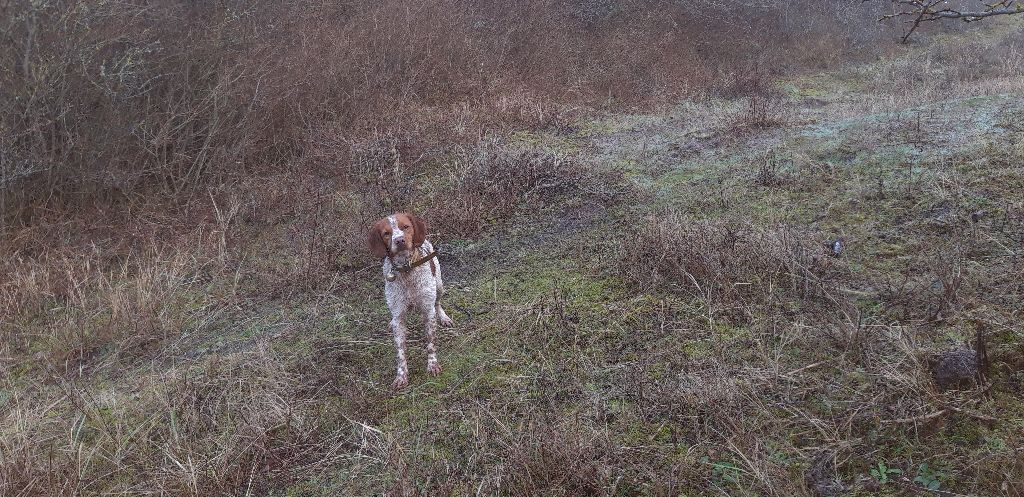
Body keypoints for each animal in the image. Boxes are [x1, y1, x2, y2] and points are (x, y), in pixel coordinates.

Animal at [366, 211, 450, 389]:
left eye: (405, 227)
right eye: (386, 233)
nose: (399, 240)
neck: (406, 269)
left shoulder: (428, 311)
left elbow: (430, 342)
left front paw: (432, 365)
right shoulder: (399, 316)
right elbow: (400, 351)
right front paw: (401, 375)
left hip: (439, 286)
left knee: (438, 303)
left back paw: (444, 318)